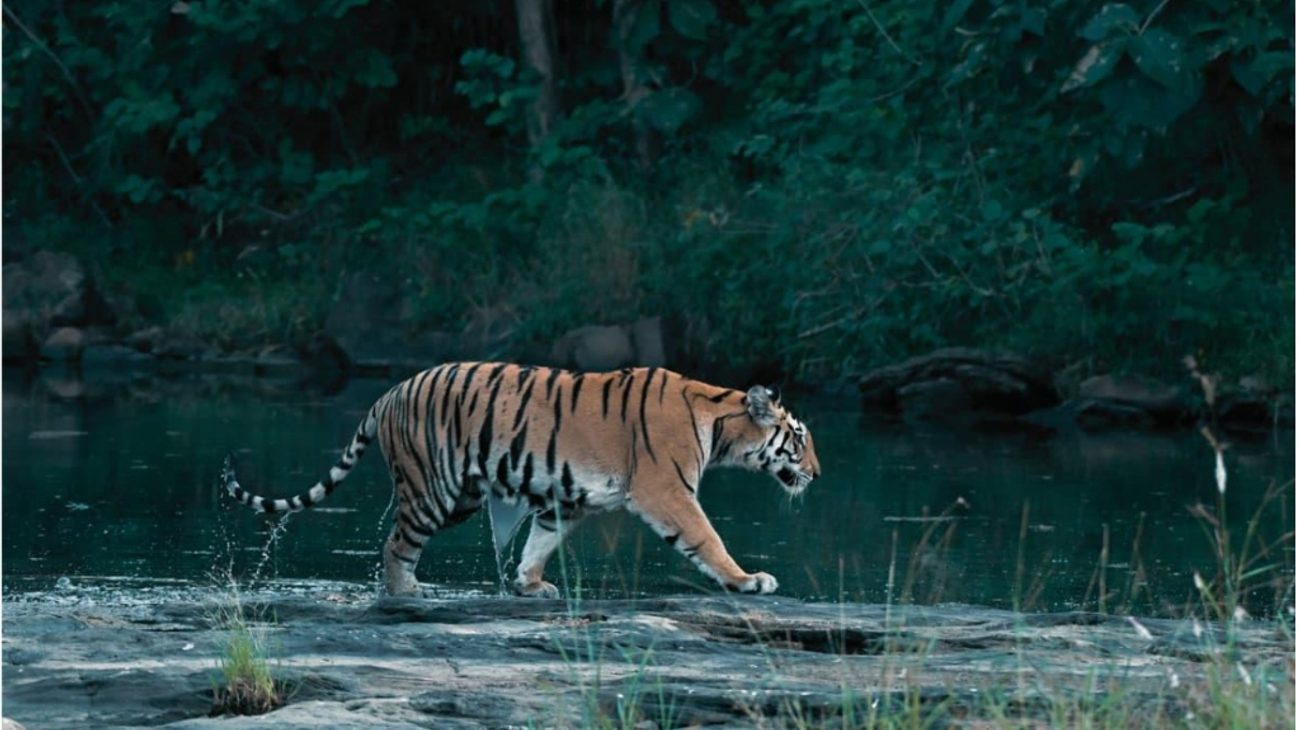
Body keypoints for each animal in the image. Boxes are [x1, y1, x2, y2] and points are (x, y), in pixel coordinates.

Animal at [223, 362, 821, 597]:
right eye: (799, 437)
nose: (817, 473)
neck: (720, 423)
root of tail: (388, 391)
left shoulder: (568, 499)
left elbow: (540, 540)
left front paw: (530, 584)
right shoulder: (667, 490)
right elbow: (707, 538)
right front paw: (748, 580)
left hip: (461, 494)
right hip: (433, 489)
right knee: (395, 544)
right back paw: (406, 592)